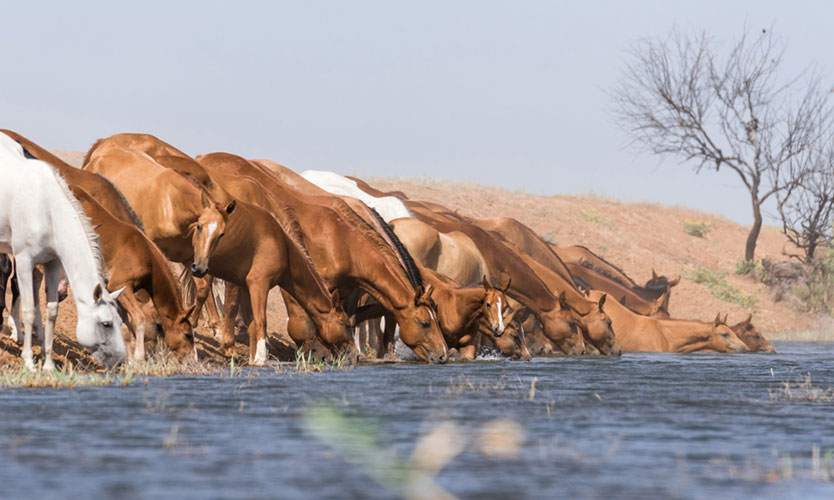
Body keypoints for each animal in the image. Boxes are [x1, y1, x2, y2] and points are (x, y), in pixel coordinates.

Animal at [0, 135, 125, 370]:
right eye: (106, 324)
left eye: (120, 321)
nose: (120, 361)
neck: (47, 210)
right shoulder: (24, 260)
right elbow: (29, 310)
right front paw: (29, 361)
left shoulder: (53, 263)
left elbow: (52, 311)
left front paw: (48, 364)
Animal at [70, 187, 197, 360]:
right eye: (187, 335)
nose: (194, 359)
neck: (146, 257)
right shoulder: (121, 286)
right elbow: (138, 319)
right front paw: (138, 357)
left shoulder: (116, 292)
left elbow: (124, 324)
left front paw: (128, 359)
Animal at [193, 152, 448, 364]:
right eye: (425, 323)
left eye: (437, 321)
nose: (443, 355)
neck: (341, 242)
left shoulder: (345, 291)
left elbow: (346, 319)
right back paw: (220, 333)